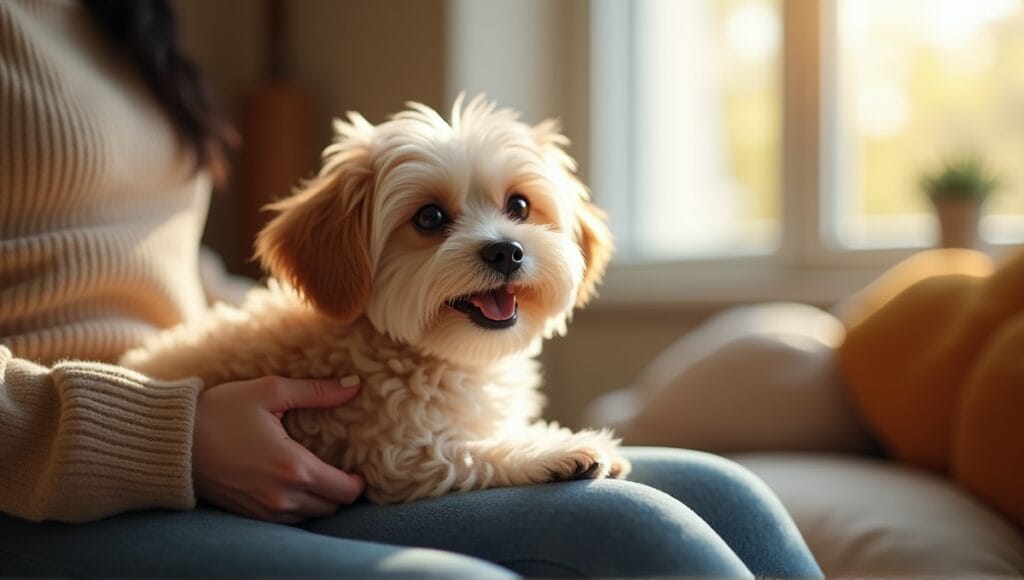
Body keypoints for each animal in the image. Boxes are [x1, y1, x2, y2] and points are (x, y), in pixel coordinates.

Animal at [122, 95, 626, 504]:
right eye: (429, 217)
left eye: (519, 206)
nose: (506, 251)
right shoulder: (396, 452)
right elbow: (471, 454)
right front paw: (562, 449)